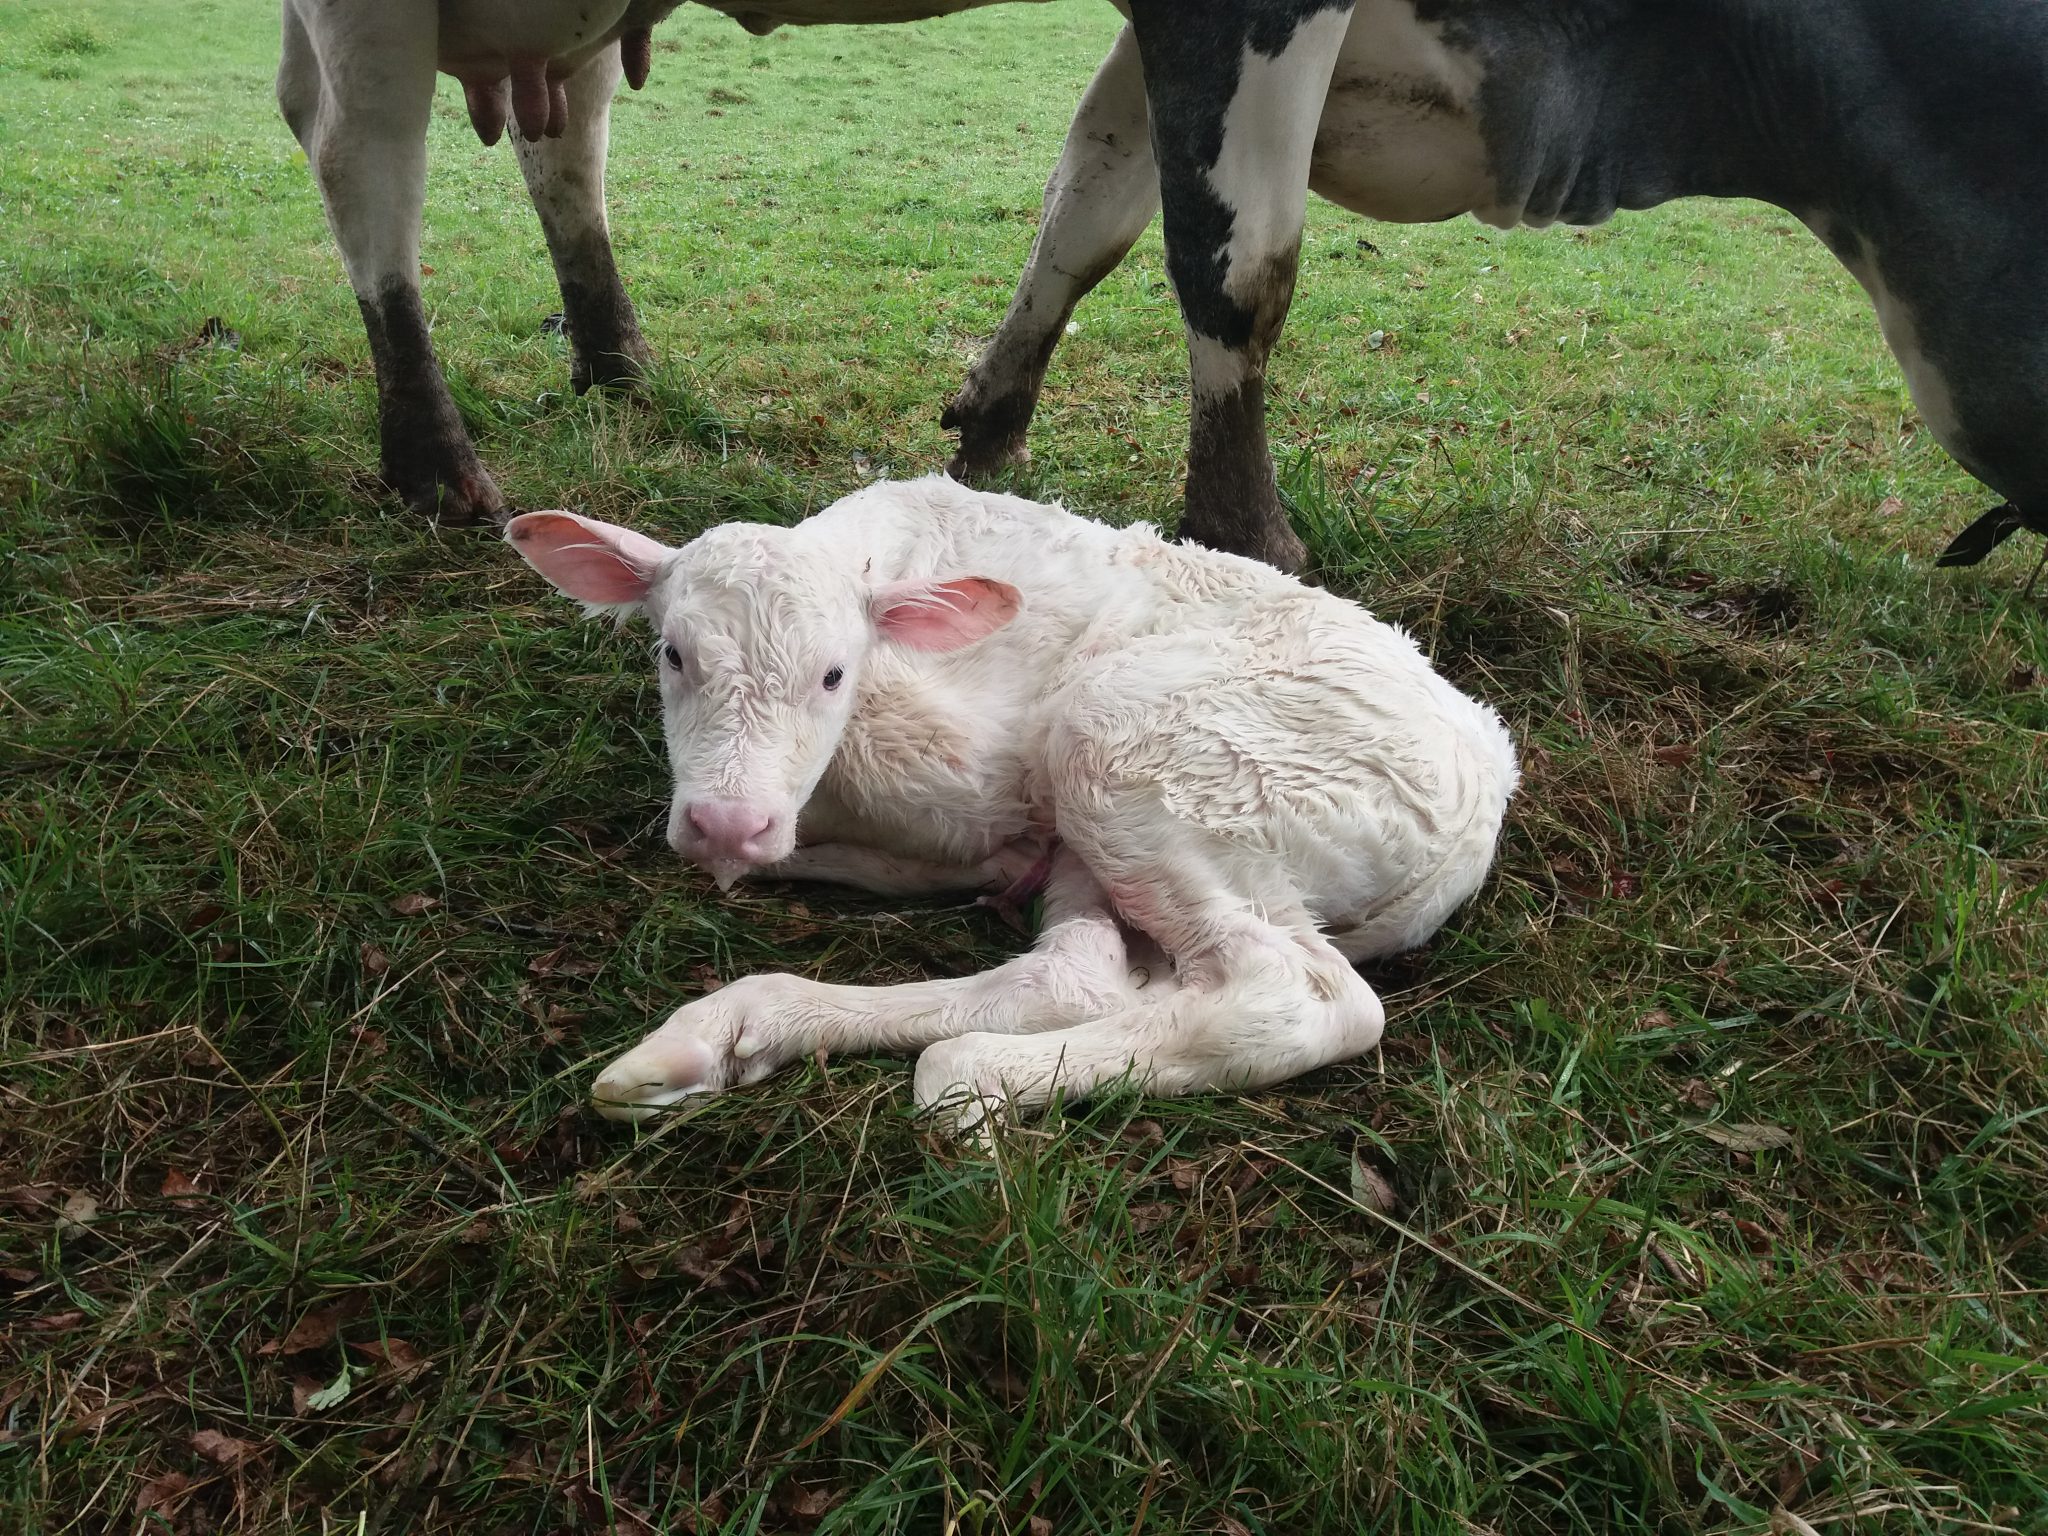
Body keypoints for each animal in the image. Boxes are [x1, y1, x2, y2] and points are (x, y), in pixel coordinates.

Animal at [503, 481, 1515, 1130]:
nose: (726, 822)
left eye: (833, 674)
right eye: (672, 654)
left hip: (1146, 752)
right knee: (1093, 966)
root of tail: (1484, 789)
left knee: (1284, 993)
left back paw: (960, 1071)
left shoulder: (984, 778)